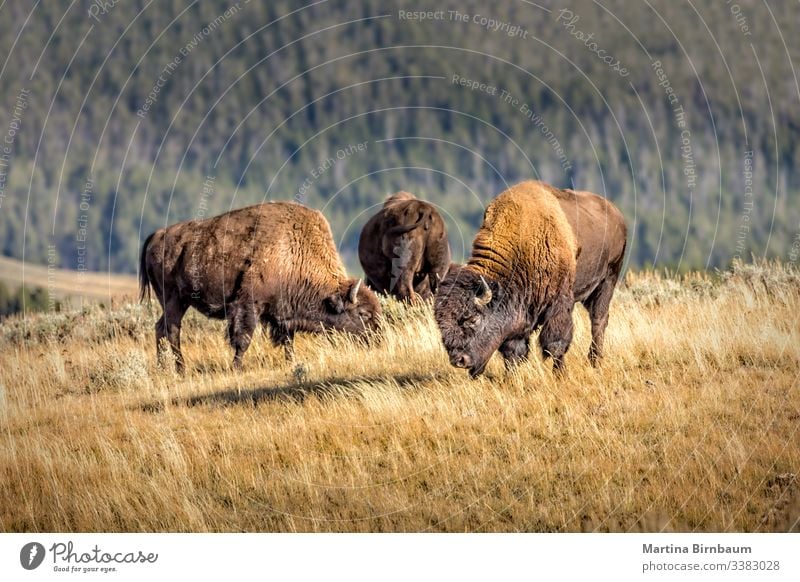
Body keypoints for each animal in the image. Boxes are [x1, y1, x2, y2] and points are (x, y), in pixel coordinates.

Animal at [138, 203, 382, 372]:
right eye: (363, 314)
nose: (378, 338)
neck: (293, 252)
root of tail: (157, 235)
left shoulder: (284, 315)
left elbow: (288, 341)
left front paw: (291, 362)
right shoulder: (249, 305)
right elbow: (243, 339)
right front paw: (236, 368)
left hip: (177, 302)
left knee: (161, 328)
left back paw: (163, 368)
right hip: (174, 299)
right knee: (172, 330)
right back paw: (180, 369)